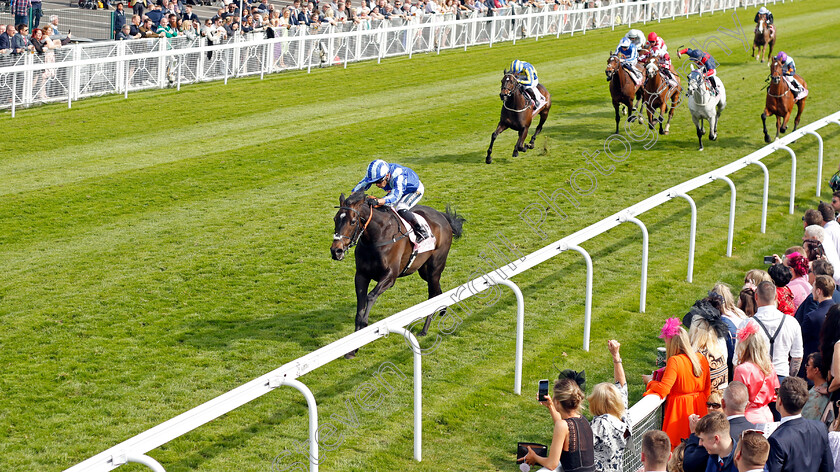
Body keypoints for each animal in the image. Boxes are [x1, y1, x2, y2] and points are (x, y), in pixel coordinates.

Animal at [332, 160, 466, 360]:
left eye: (353, 221)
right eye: (335, 219)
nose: (336, 250)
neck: (376, 237)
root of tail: (443, 218)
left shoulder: (390, 276)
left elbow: (370, 297)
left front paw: (365, 329)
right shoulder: (361, 275)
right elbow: (359, 307)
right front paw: (352, 349)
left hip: (435, 266)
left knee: (432, 293)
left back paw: (425, 329)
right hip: (423, 270)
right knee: (436, 289)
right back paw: (442, 309)